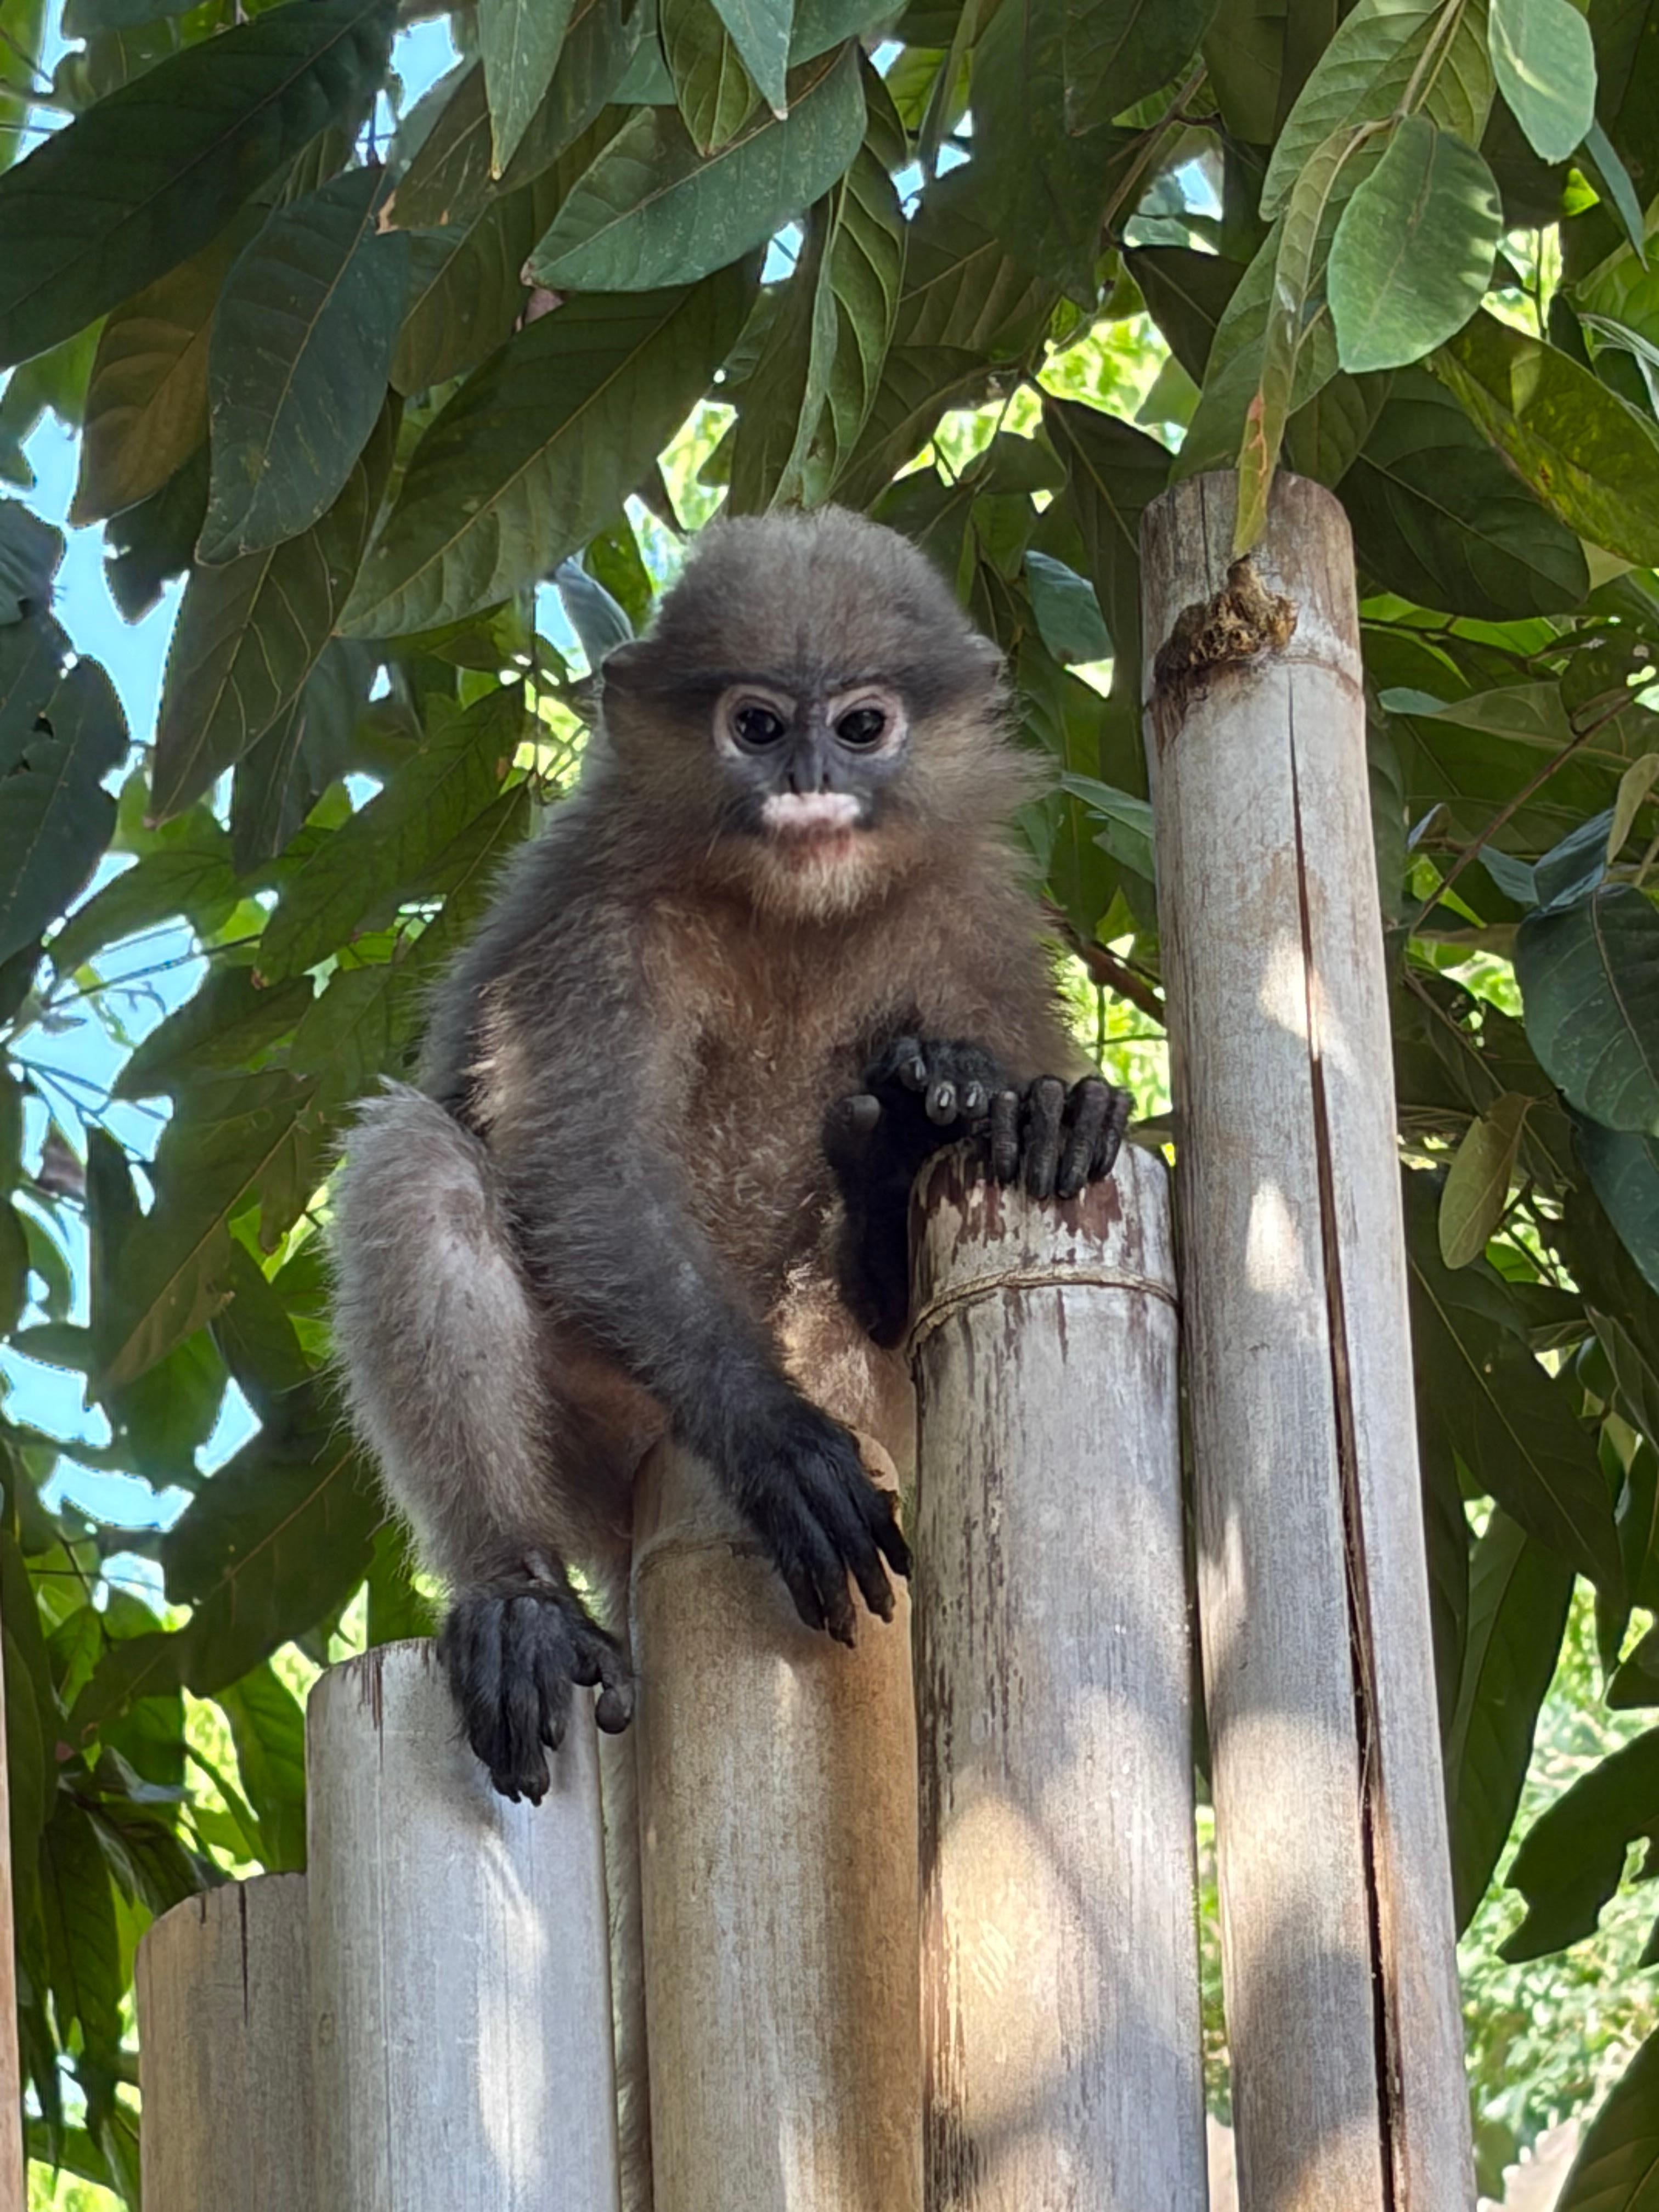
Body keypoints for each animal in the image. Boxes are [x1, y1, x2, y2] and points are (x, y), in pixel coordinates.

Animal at [329, 504, 1132, 1813]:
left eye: (859, 726)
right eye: (755, 726)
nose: (807, 782)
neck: (790, 914)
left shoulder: (975, 914)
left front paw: (1046, 1111)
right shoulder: (593, 923)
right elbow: (583, 1170)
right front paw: (773, 1441)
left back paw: (892, 1173)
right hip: (601, 1442)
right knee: (420, 1166)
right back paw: (516, 1599)